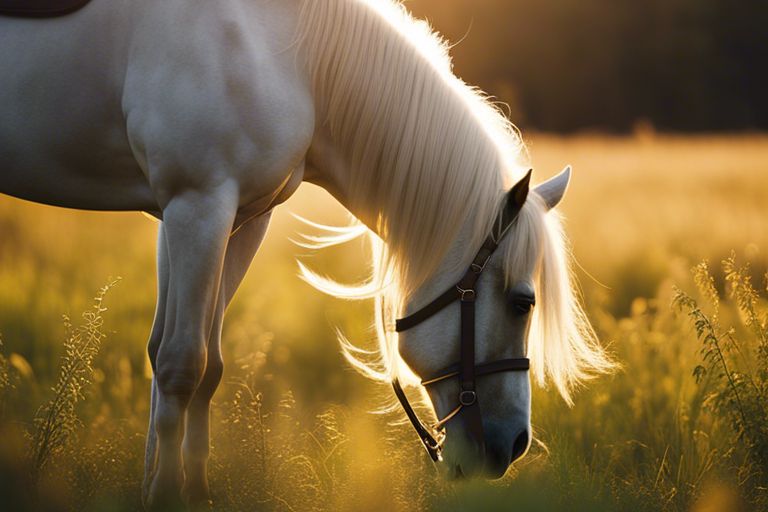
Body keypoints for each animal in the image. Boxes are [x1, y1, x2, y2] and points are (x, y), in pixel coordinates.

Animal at [0, 0, 612, 506]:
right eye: (522, 303)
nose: (514, 446)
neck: (292, 55)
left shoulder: (232, 220)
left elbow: (198, 362)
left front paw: (184, 490)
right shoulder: (196, 205)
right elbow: (179, 363)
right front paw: (169, 496)